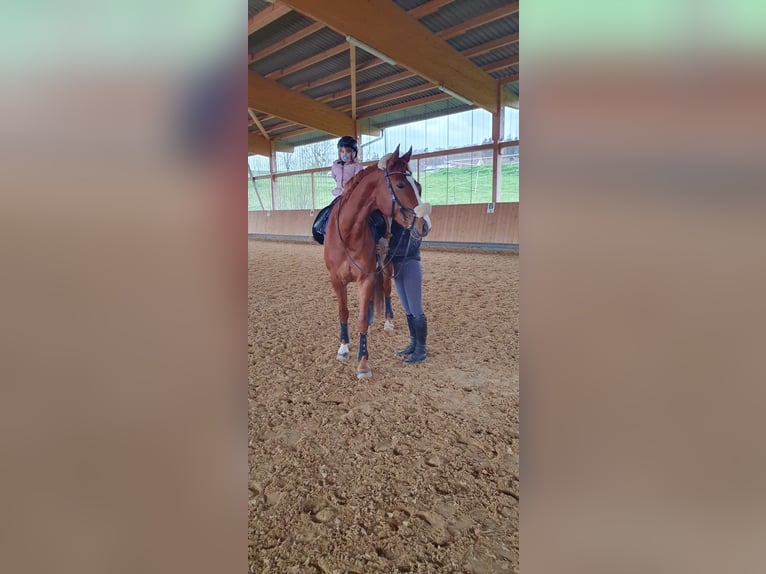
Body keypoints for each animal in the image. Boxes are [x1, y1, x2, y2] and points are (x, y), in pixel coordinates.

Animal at [324, 146, 428, 380]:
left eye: (418, 185)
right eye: (400, 185)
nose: (424, 225)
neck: (348, 232)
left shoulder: (366, 278)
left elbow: (361, 319)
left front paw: (363, 363)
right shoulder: (337, 281)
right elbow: (344, 313)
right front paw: (343, 348)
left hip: (387, 269)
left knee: (387, 292)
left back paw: (387, 321)